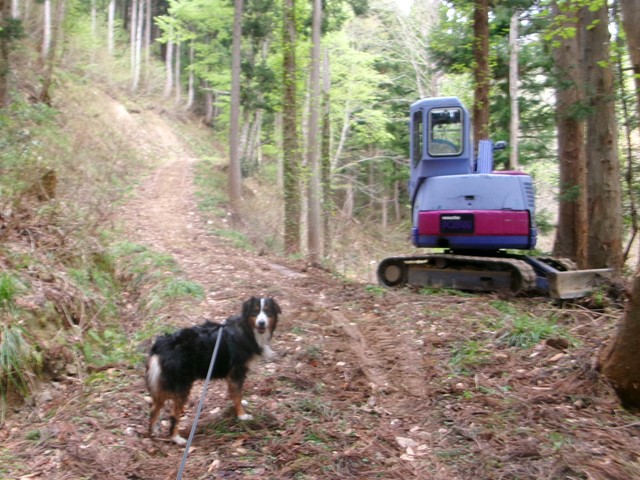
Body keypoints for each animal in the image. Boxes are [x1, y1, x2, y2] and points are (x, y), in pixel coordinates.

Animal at [149, 296, 284, 446]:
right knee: (173, 414)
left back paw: (153, 431)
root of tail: (161, 345)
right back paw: (176, 438)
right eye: (255, 312)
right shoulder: (236, 371)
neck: (246, 329)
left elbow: (235, 393)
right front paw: (242, 415)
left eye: (267, 311)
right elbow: (237, 394)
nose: (261, 323)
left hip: (164, 384)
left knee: (154, 408)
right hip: (181, 385)